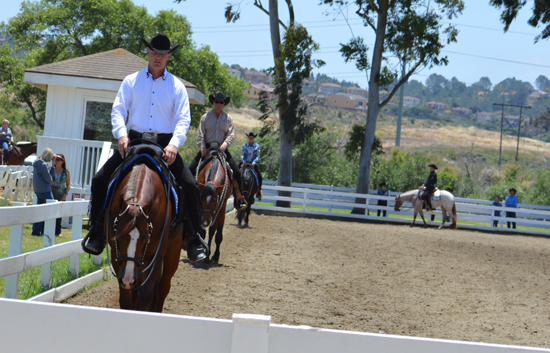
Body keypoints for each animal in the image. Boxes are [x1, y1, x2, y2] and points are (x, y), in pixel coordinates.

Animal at [105, 144, 185, 310]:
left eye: (145, 238)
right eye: (118, 237)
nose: (128, 280)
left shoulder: (155, 255)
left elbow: (146, 296)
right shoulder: (117, 255)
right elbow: (126, 299)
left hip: (173, 251)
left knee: (162, 288)